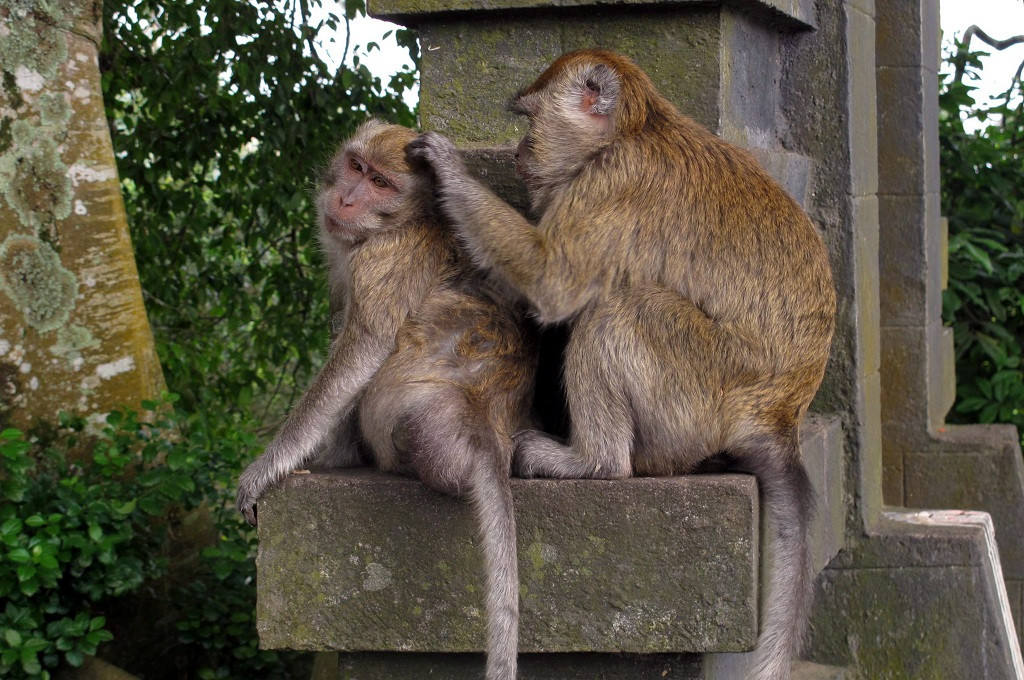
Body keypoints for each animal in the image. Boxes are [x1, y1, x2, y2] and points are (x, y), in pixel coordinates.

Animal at [234, 119, 532, 680]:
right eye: (356, 166)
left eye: (381, 183)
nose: (347, 198)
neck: (402, 222)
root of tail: (484, 417)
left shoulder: (379, 262)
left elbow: (360, 350)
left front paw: (269, 467)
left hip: (415, 426)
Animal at [407, 49, 839, 680]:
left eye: (530, 119)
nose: (519, 152)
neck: (636, 129)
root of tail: (777, 415)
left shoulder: (612, 183)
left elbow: (552, 280)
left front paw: (446, 170)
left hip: (694, 395)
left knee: (618, 311)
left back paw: (592, 462)